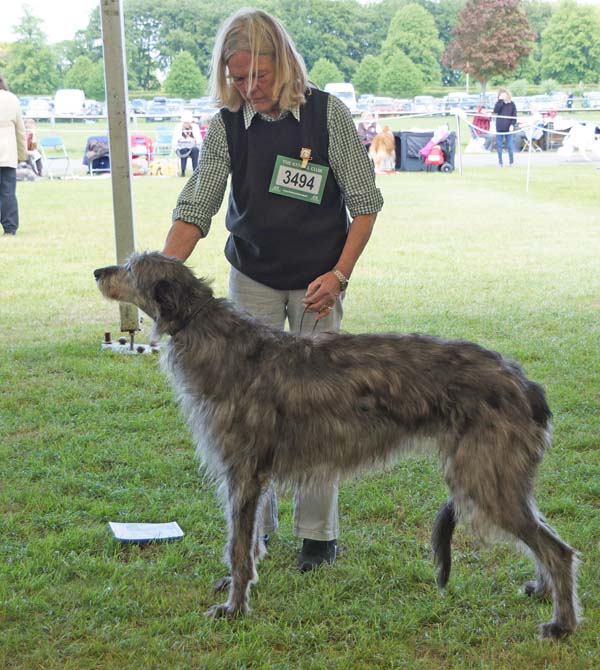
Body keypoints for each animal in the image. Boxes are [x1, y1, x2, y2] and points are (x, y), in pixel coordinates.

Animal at [95, 252, 580, 640]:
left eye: (132, 268)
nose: (99, 271)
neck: (213, 337)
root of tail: (527, 386)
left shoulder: (243, 472)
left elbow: (237, 547)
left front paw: (234, 608)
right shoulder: (255, 476)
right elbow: (249, 543)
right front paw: (239, 588)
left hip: (485, 478)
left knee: (558, 550)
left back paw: (561, 624)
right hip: (499, 476)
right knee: (544, 537)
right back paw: (543, 591)